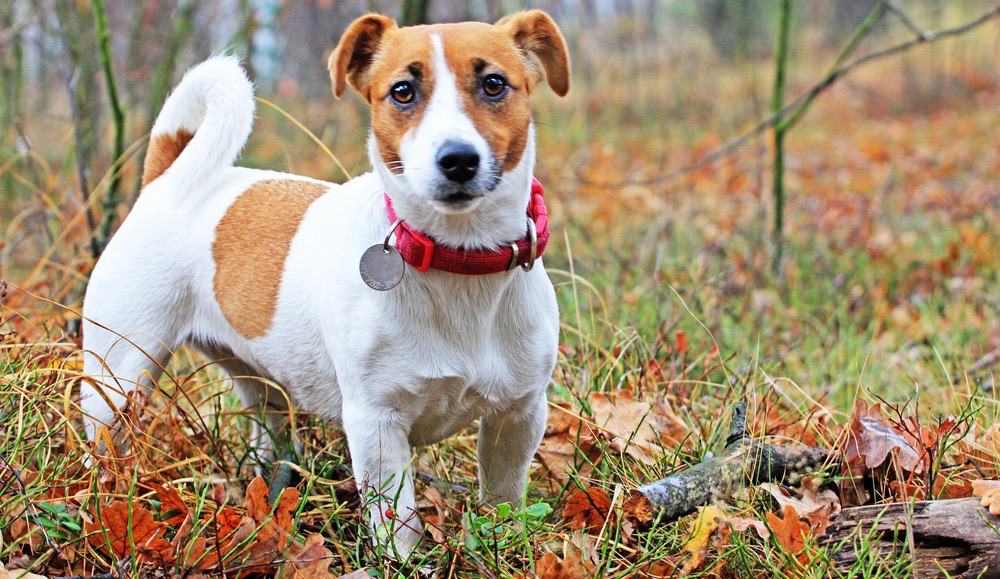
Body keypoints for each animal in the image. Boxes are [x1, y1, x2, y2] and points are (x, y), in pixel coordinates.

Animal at [81, 11, 572, 556]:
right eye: (402, 91)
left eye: (494, 84)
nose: (458, 159)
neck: (458, 262)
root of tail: (164, 180)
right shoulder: (376, 423)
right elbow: (397, 521)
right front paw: (404, 561)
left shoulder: (519, 414)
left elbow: (503, 500)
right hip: (119, 377)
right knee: (102, 445)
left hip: (259, 382)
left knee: (269, 434)